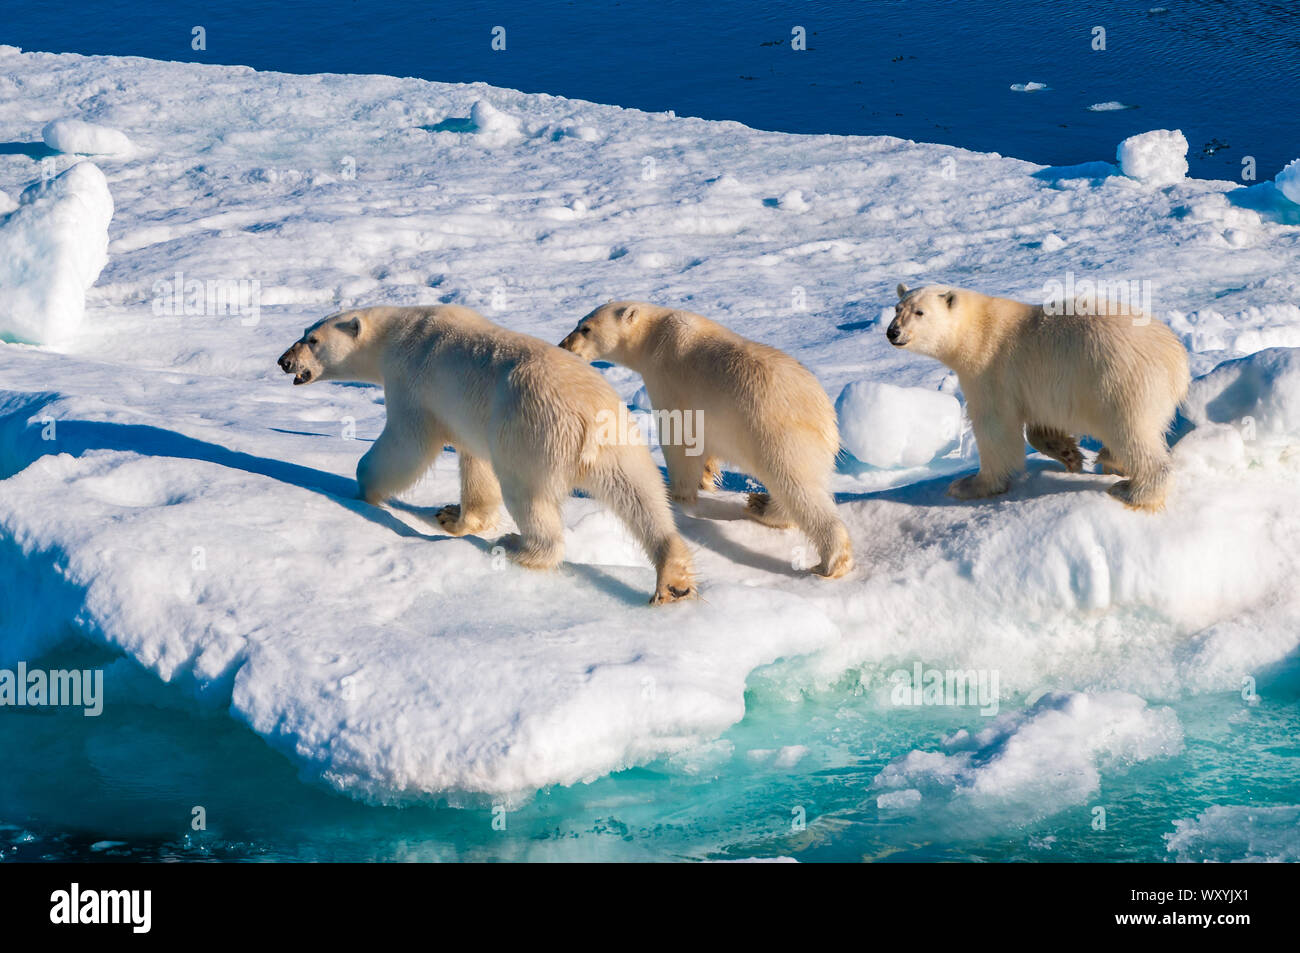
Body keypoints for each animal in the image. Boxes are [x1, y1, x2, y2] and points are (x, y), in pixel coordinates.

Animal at [277, 305, 696, 605]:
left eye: (312, 339)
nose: (283, 361)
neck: (399, 332)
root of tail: (588, 416)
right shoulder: (469, 417)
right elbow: (474, 462)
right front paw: (453, 516)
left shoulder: (412, 381)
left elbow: (407, 442)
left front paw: (365, 489)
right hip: (622, 438)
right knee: (642, 494)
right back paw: (673, 578)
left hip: (532, 430)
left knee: (528, 497)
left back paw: (514, 546)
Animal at [559, 301, 853, 579]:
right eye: (579, 322)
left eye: (586, 328)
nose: (564, 345)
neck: (654, 335)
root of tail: (827, 418)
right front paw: (708, 475)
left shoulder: (667, 377)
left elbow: (678, 437)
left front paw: (676, 494)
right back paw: (760, 505)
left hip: (780, 433)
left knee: (797, 486)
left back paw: (830, 561)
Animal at [887, 283, 1191, 511]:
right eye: (897, 308)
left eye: (920, 312)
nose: (893, 331)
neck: (976, 330)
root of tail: (1176, 357)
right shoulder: (1037, 387)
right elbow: (1040, 425)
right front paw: (1068, 454)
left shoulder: (990, 369)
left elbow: (995, 428)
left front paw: (971, 484)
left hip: (1118, 382)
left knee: (1130, 432)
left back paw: (1132, 490)